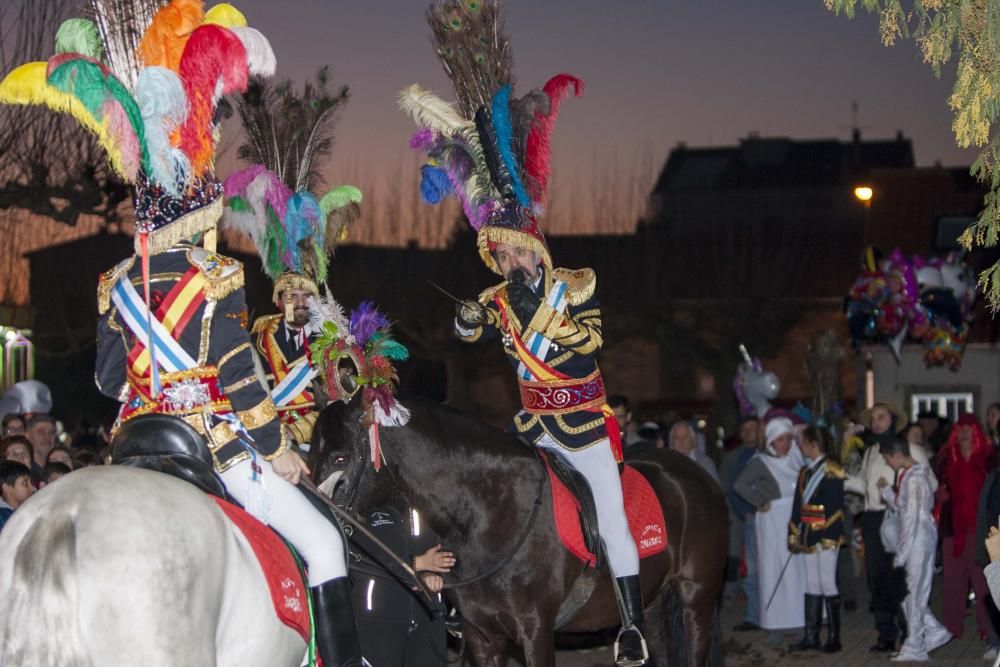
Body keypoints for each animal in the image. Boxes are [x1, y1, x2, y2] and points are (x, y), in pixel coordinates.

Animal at [312, 396, 728, 667]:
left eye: (340, 457)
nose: (323, 521)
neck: (490, 511)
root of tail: (699, 475)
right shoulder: (482, 637)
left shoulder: (535, 632)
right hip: (654, 604)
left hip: (696, 600)